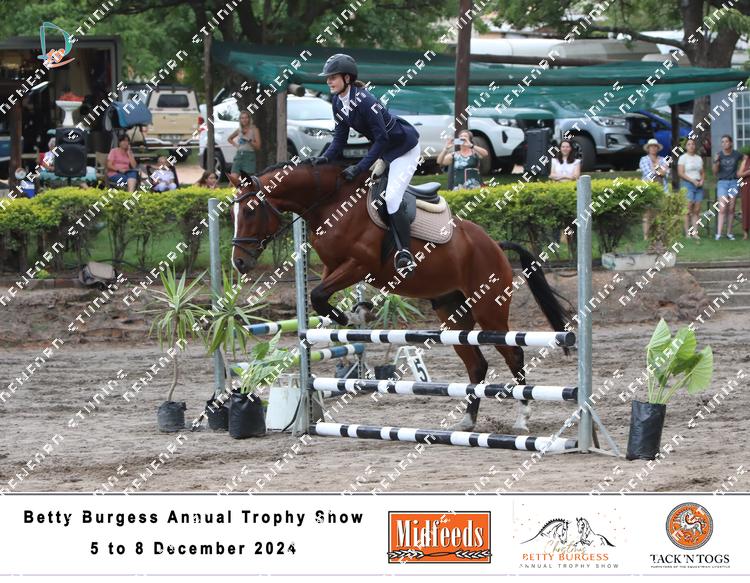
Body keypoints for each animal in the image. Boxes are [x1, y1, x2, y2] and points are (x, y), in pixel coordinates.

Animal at [229, 160, 571, 432]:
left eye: (250, 210)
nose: (239, 263)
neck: (332, 202)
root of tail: (496, 246)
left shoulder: (358, 265)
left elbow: (317, 294)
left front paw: (350, 315)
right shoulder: (333, 266)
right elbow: (319, 294)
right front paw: (353, 313)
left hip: (490, 311)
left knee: (514, 354)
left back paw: (522, 417)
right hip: (452, 313)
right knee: (476, 364)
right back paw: (467, 421)